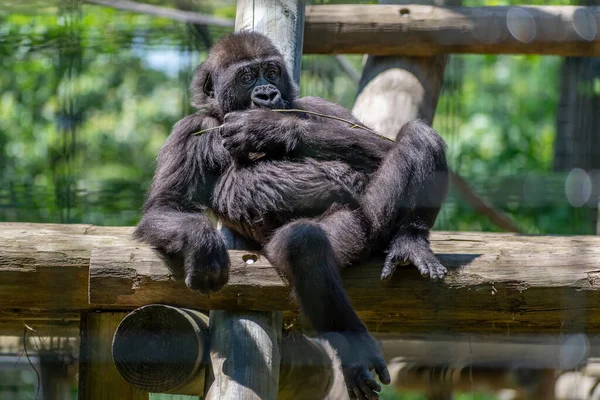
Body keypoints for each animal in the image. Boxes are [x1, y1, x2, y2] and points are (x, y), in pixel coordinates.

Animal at [134, 31, 448, 400]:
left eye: (270, 72)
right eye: (246, 77)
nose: (267, 93)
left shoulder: (316, 105)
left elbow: (380, 146)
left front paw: (269, 128)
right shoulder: (189, 130)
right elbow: (166, 206)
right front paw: (201, 243)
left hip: (374, 220)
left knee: (416, 137)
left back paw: (410, 239)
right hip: (354, 234)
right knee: (304, 244)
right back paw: (355, 349)